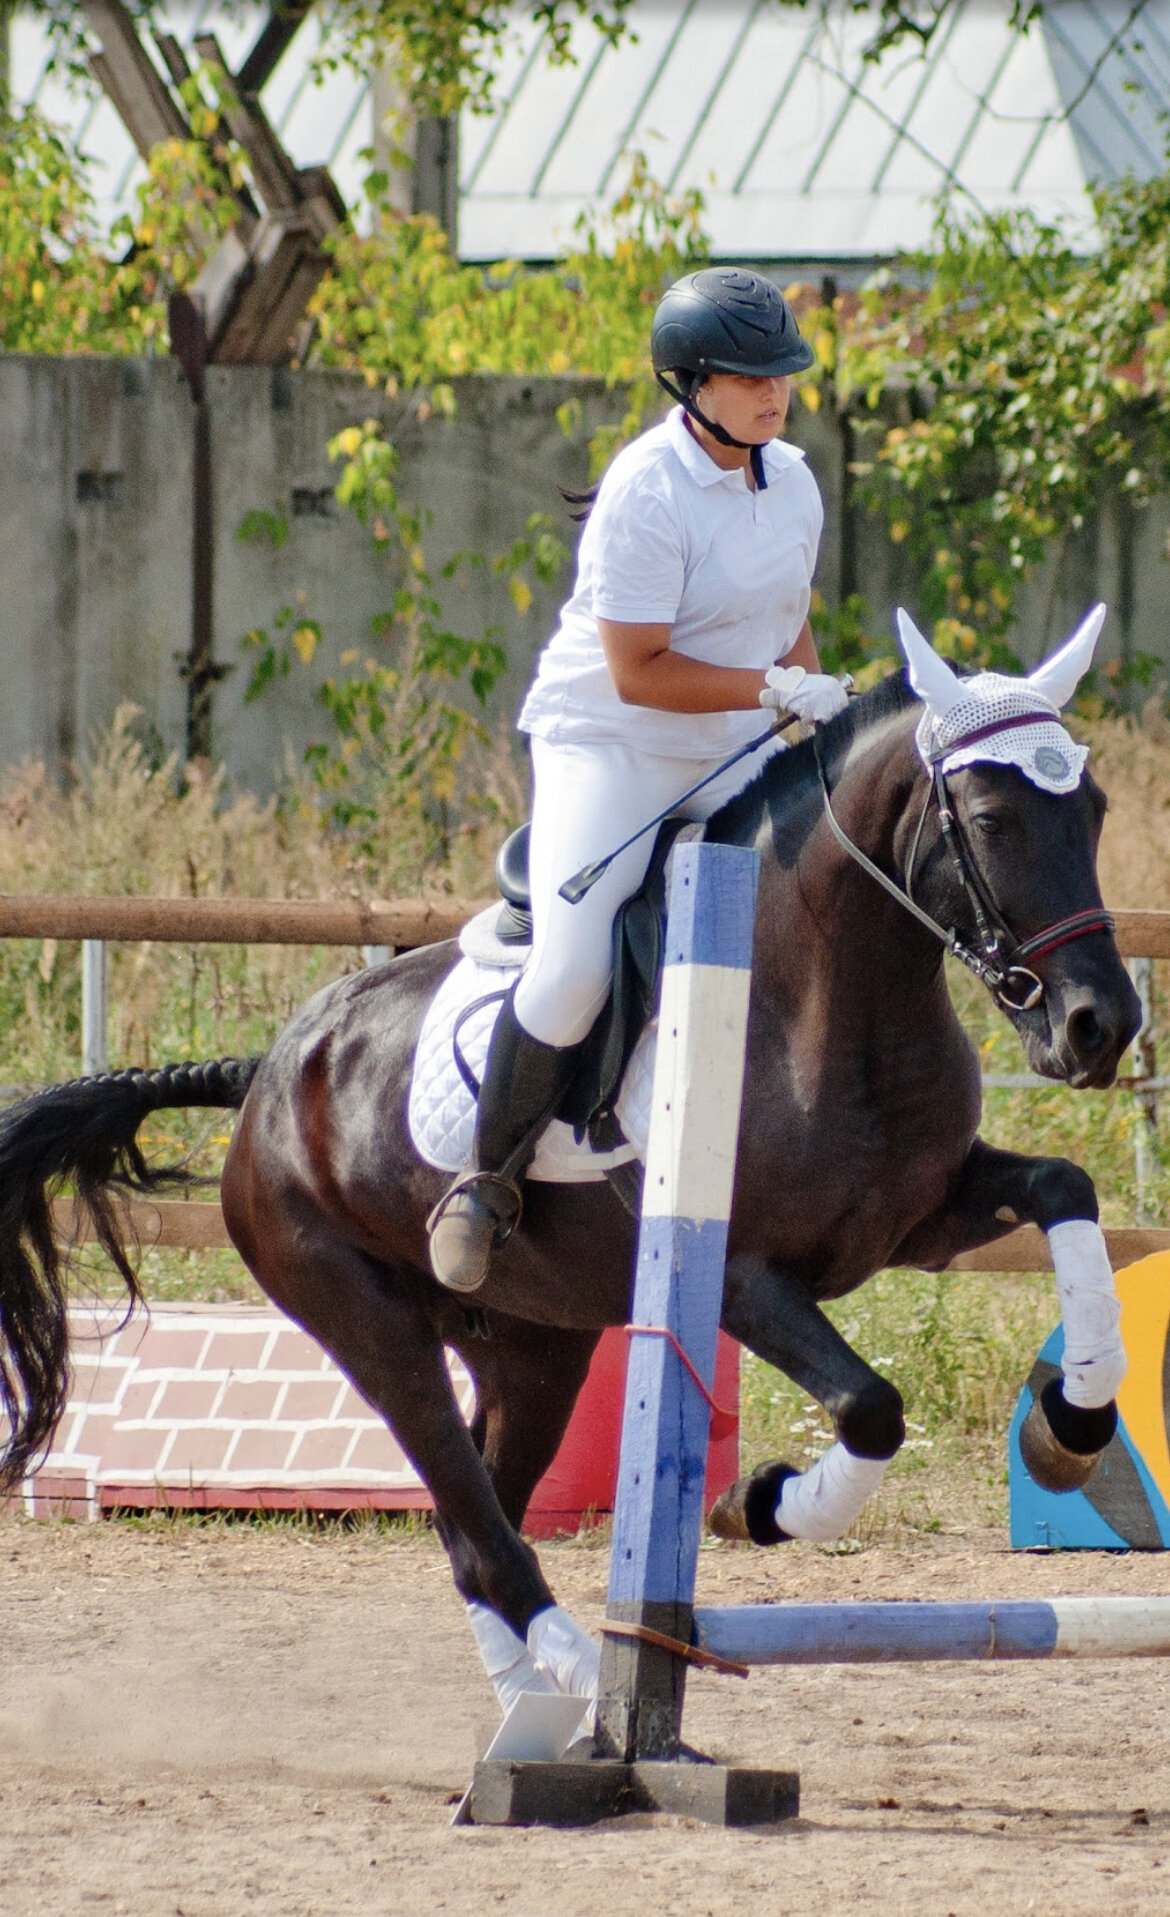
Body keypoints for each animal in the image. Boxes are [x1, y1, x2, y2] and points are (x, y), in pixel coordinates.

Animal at [0, 663, 1135, 1694]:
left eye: (1093, 807)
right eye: (989, 817)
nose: (1102, 1024)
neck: (829, 993)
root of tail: (272, 1071)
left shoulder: (916, 1219)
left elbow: (1063, 1188)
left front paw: (1072, 1425)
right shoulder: (741, 1275)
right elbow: (870, 1406)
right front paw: (760, 1504)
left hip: (532, 1347)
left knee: (477, 1528)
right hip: (368, 1321)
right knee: (484, 1536)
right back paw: (594, 1696)